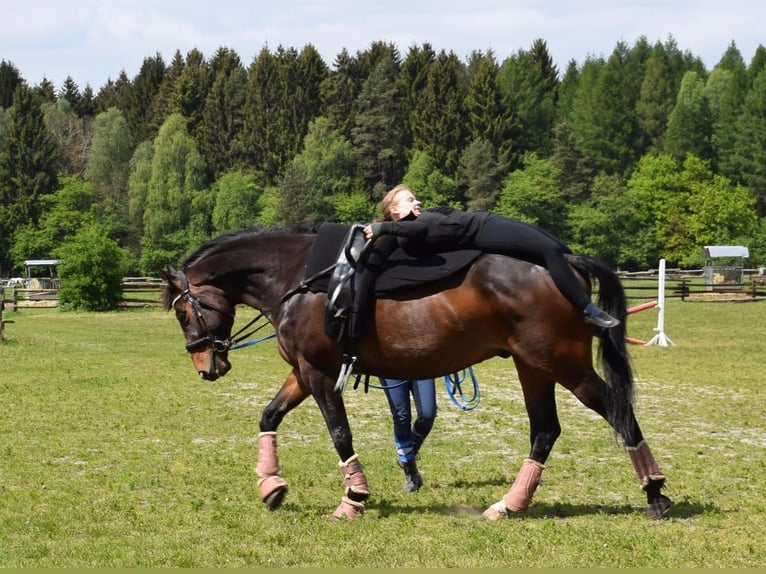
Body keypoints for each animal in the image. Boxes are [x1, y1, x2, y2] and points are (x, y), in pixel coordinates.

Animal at [160, 225, 672, 521]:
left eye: (184, 312)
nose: (206, 366)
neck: (298, 279)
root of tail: (564, 261)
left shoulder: (319, 372)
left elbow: (340, 433)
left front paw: (354, 498)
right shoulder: (304, 373)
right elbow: (268, 416)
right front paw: (271, 485)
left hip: (561, 363)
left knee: (617, 410)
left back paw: (654, 493)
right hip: (533, 366)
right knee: (545, 430)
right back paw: (510, 504)